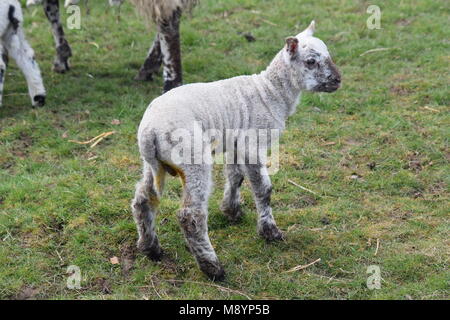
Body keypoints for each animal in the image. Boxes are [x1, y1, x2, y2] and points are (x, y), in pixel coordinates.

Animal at [132, 21, 342, 280]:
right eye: (311, 61)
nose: (338, 80)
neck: (271, 92)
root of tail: (149, 132)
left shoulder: (236, 143)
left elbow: (235, 176)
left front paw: (231, 210)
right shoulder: (253, 143)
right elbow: (263, 189)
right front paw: (269, 231)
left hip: (153, 164)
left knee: (143, 199)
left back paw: (151, 248)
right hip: (193, 158)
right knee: (190, 215)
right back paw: (212, 267)